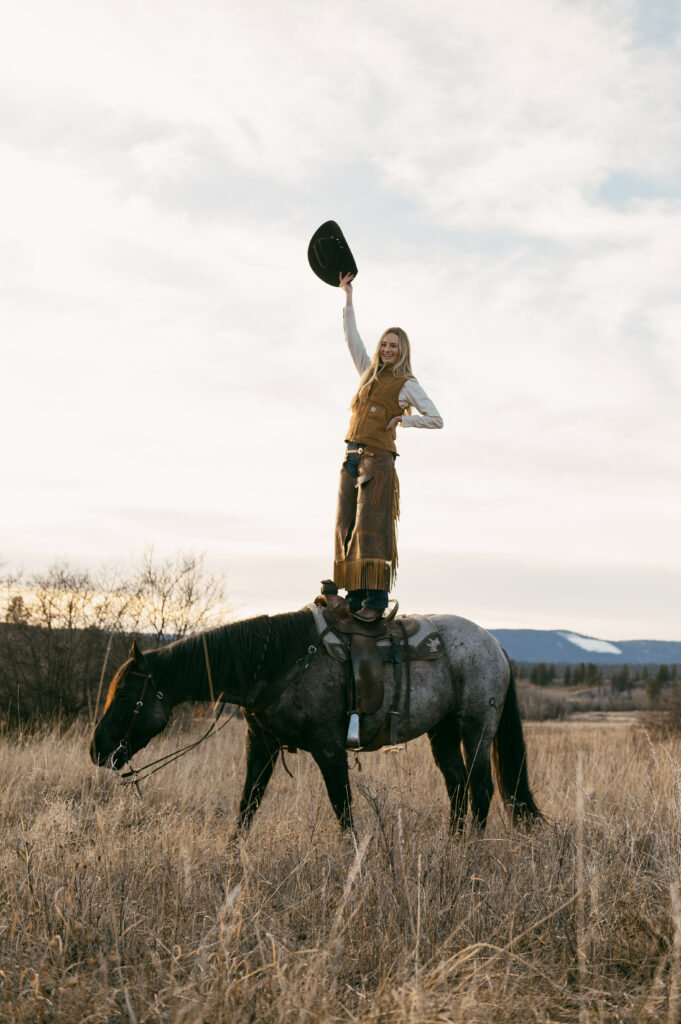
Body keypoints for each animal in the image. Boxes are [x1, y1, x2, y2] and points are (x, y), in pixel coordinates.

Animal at [87, 606, 540, 831]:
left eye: (125, 695)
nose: (97, 750)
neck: (279, 663)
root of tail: (494, 643)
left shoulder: (329, 749)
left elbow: (343, 812)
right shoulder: (261, 745)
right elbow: (247, 807)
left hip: (476, 729)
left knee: (481, 791)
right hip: (441, 733)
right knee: (458, 790)